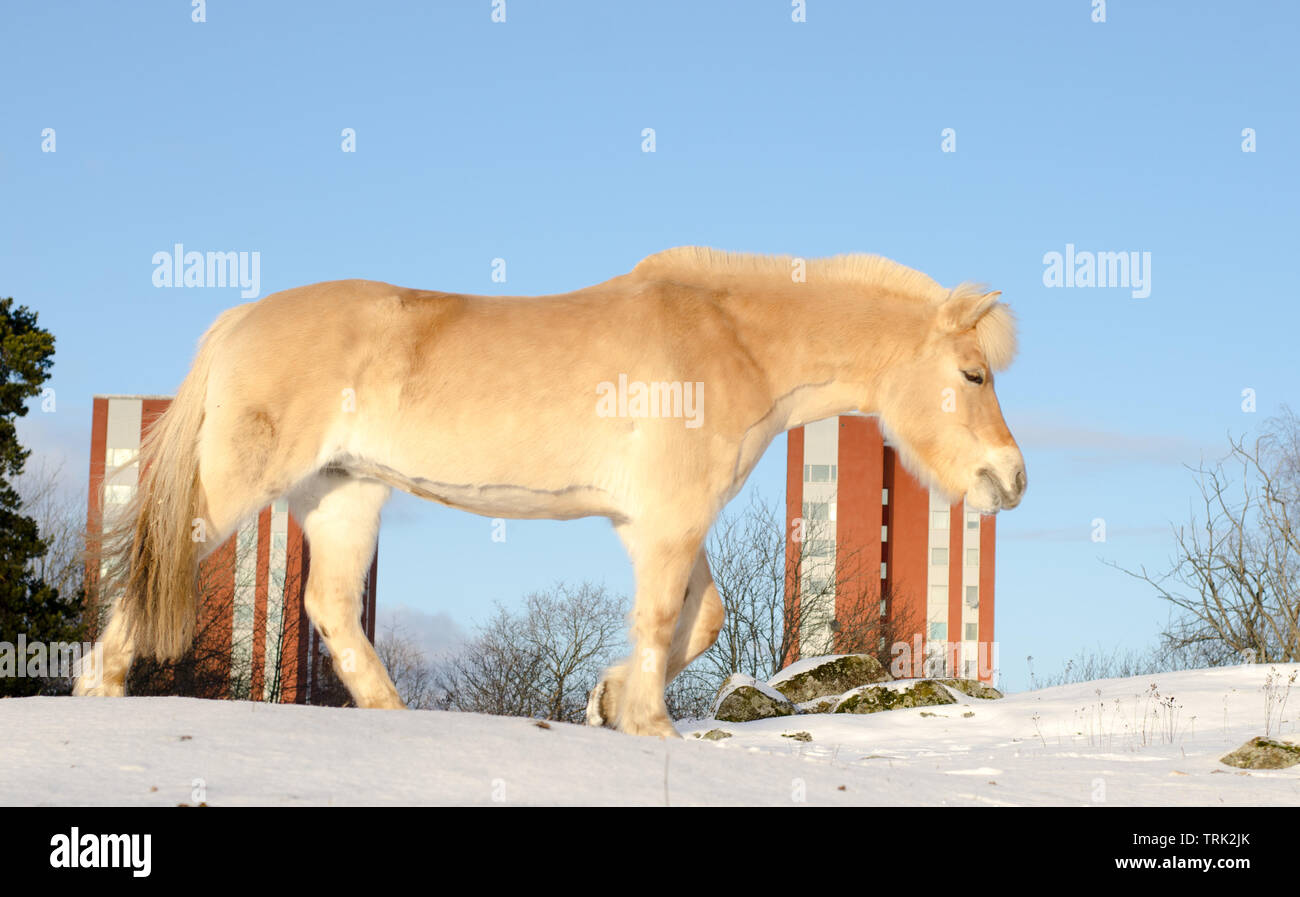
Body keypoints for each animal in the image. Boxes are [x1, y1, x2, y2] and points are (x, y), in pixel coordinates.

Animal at [75, 246, 1026, 737]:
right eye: (972, 374)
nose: (1010, 479)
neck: (726, 341)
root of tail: (239, 319)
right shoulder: (668, 520)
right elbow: (661, 619)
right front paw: (648, 723)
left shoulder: (655, 521)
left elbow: (700, 619)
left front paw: (607, 701)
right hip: (243, 484)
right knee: (165, 561)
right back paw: (100, 684)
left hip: (344, 495)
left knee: (331, 608)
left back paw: (396, 716)